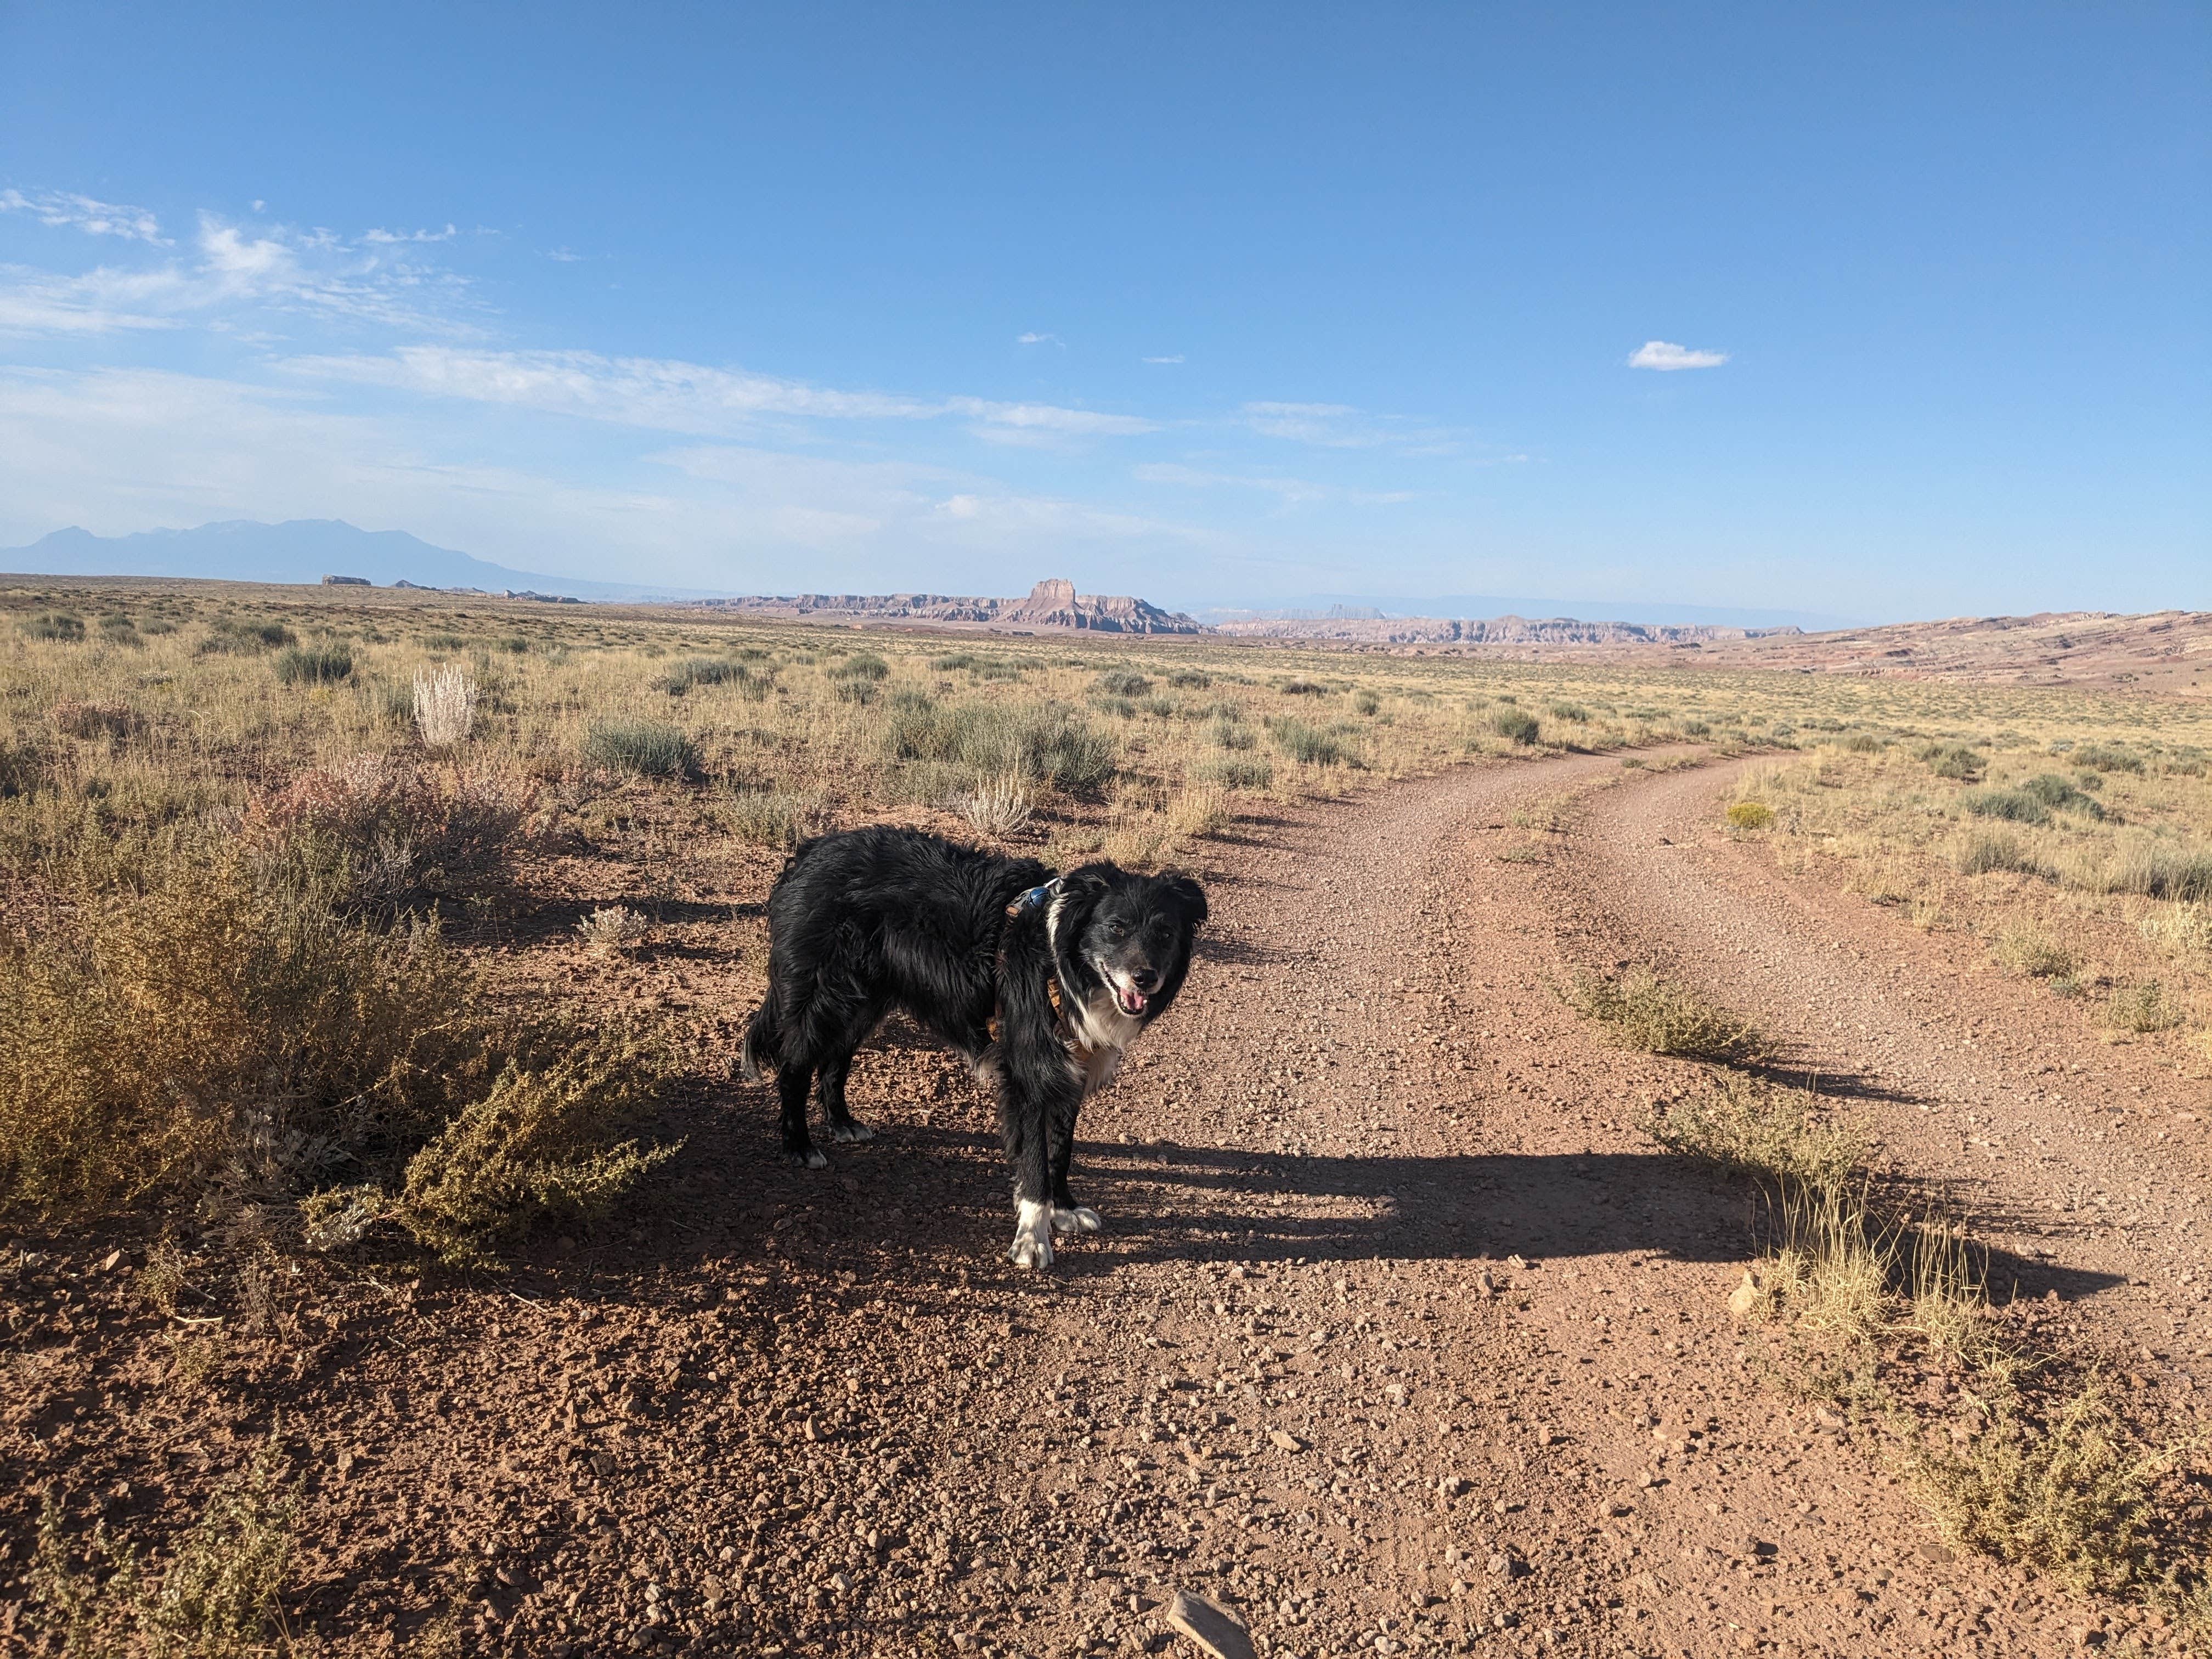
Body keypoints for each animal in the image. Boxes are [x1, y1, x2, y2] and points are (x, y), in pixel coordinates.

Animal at [734, 827, 1203, 1265]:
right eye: (1116, 928)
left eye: (1165, 933)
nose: (1145, 978)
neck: (1060, 966)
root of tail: (808, 853)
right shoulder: (1029, 1072)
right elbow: (1035, 1162)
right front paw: (1033, 1238)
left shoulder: (1071, 1069)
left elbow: (1062, 1149)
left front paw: (1065, 1209)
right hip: (824, 996)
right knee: (795, 1067)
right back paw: (799, 1145)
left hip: (864, 999)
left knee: (836, 1060)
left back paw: (843, 1122)